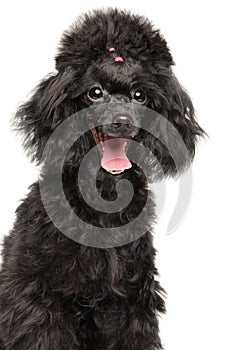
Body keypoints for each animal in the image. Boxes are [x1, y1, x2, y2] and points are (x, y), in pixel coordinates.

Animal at [0, 8, 204, 350]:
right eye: (95, 92)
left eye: (140, 95)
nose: (121, 121)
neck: (104, 192)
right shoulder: (39, 296)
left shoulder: (130, 298)